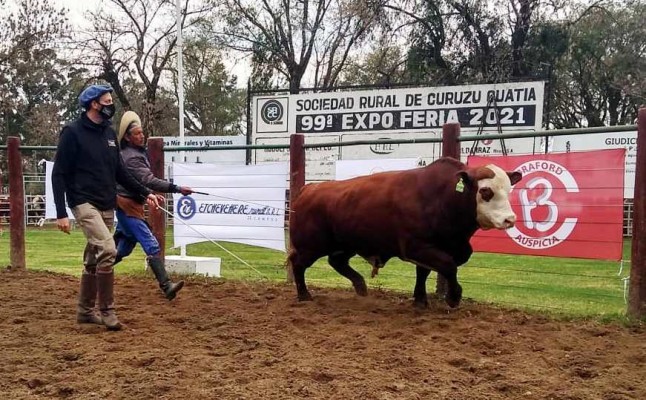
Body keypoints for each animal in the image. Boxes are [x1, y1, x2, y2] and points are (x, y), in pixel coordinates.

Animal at [288, 158, 528, 308]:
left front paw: (420, 300)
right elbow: (448, 266)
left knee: (336, 262)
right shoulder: (416, 246)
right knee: (298, 263)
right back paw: (304, 295)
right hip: (311, 246)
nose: (509, 219)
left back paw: (360, 286)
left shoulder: (432, 249)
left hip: (346, 244)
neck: (442, 197)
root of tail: (309, 189)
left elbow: (424, 272)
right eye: (486, 191)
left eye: (508, 189)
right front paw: (453, 297)